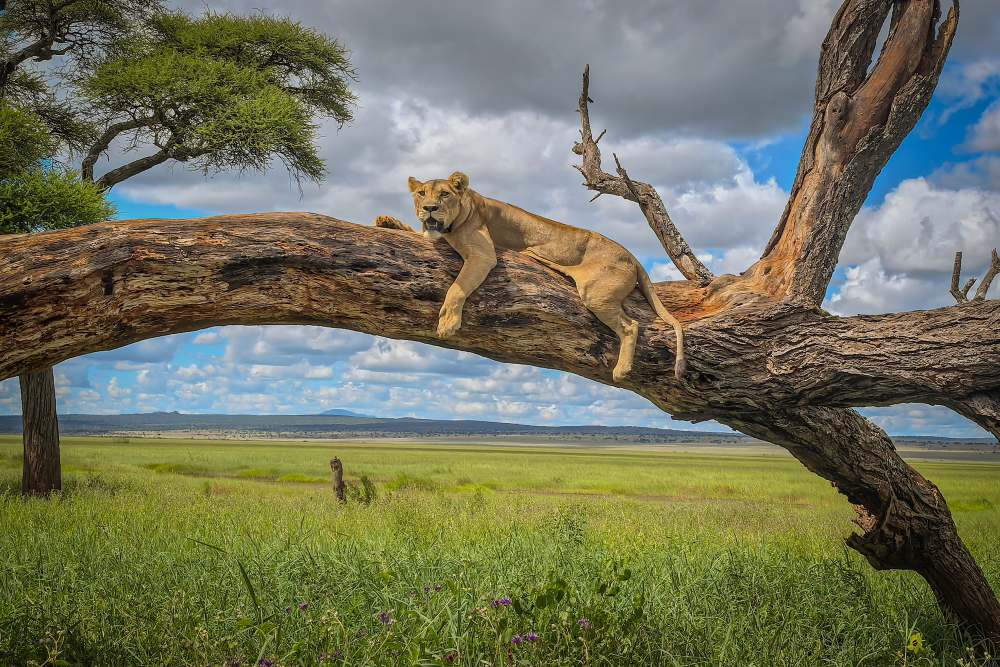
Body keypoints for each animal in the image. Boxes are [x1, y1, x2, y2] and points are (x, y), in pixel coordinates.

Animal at [374, 171, 685, 381]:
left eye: (444, 195)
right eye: (421, 194)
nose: (429, 209)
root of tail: (630, 254)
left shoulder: (483, 254)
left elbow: (457, 288)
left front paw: (448, 324)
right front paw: (386, 221)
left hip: (596, 293)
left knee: (631, 325)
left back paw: (621, 370)